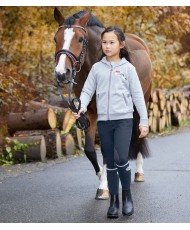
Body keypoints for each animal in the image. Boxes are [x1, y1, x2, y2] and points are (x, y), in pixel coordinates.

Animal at [54, 7, 152, 199]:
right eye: (56, 38)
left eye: (80, 39)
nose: (61, 73)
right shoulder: (88, 113)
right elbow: (90, 150)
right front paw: (102, 178)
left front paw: (105, 185)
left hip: (143, 101)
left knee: (139, 133)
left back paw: (138, 172)